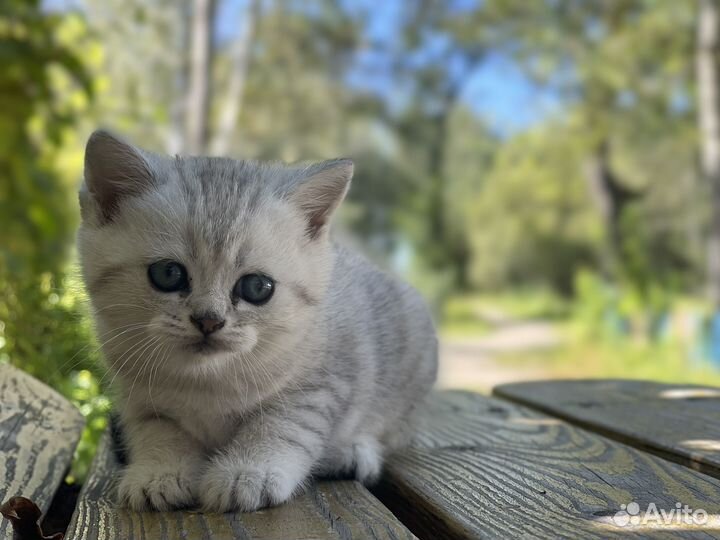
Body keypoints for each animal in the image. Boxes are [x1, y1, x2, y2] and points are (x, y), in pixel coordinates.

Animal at [79, 130, 438, 510]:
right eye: (167, 274)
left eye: (256, 287)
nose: (209, 320)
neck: (205, 383)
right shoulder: (140, 400)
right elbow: (159, 433)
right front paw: (159, 472)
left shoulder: (322, 386)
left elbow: (280, 426)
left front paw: (247, 472)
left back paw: (351, 452)